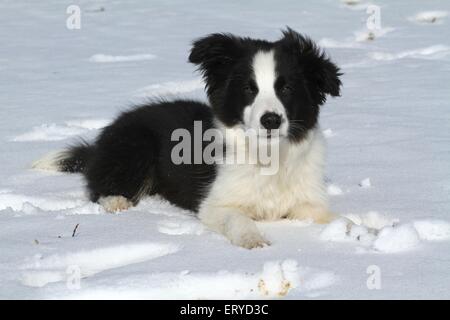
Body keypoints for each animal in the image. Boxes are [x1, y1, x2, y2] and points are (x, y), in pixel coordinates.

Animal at [33, 28, 342, 249]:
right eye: (248, 89)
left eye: (286, 88)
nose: (271, 120)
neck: (269, 155)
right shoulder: (215, 204)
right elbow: (238, 220)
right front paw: (254, 240)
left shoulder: (308, 202)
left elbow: (332, 218)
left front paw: (352, 229)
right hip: (137, 144)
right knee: (99, 186)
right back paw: (117, 202)